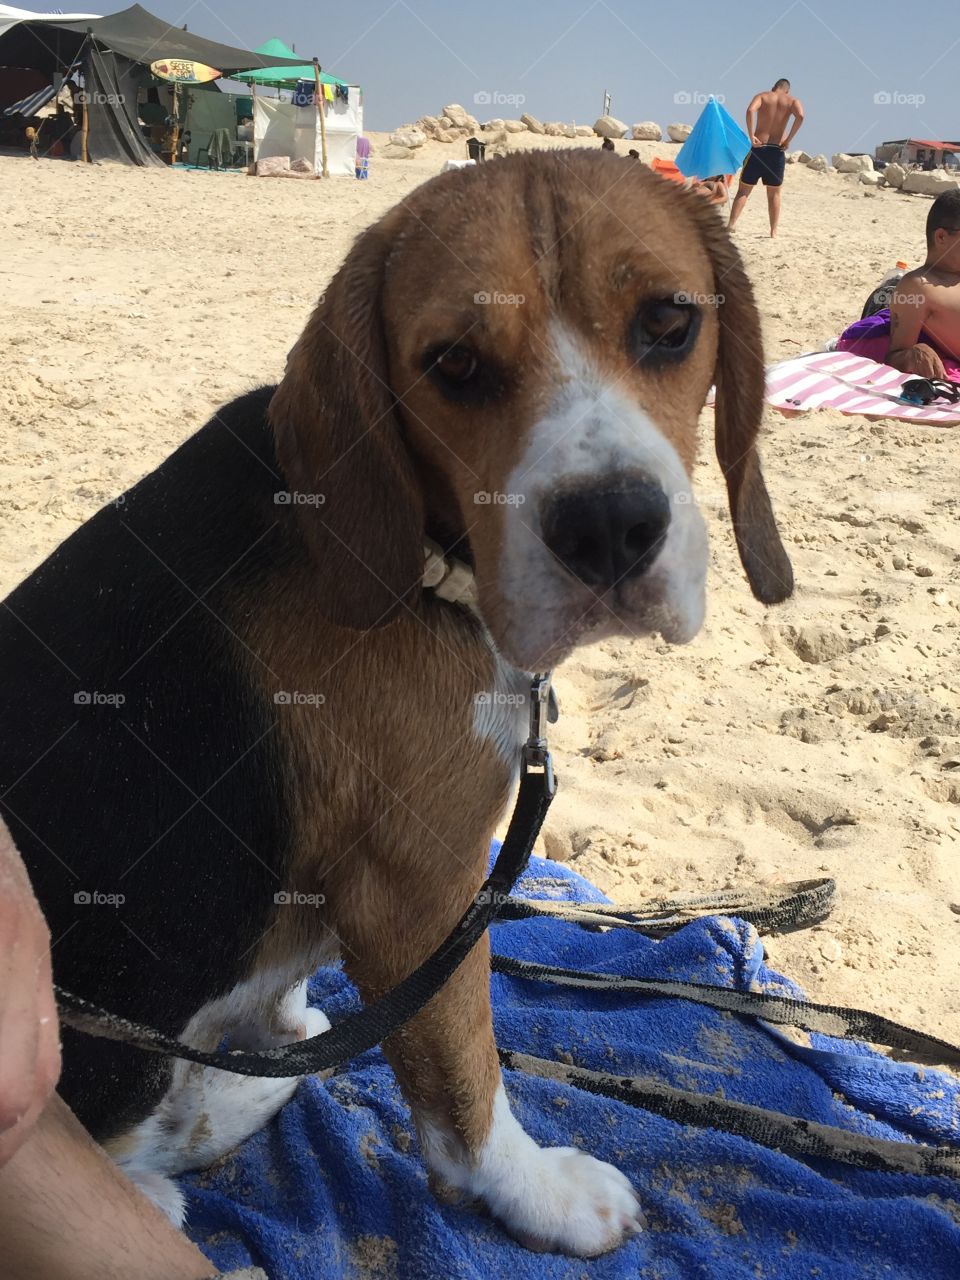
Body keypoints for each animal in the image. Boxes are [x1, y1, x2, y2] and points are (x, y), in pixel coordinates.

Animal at [0, 152, 793, 1259]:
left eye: (671, 322)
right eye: (453, 364)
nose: (609, 527)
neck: (426, 552)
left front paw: (283, 1032)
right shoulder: (420, 891)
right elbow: (464, 1074)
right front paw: (535, 1193)